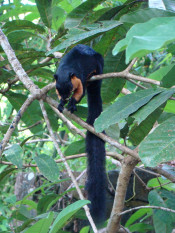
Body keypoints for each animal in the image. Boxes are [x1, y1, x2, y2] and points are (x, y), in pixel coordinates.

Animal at [54, 44, 106, 224]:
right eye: (59, 90)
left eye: (70, 88)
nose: (65, 97)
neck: (66, 68)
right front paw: (61, 103)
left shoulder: (80, 77)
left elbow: (80, 93)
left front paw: (72, 103)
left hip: (99, 63)